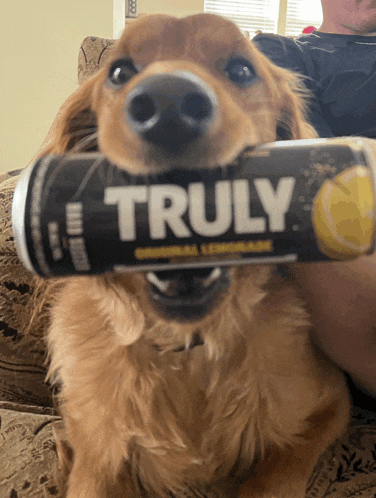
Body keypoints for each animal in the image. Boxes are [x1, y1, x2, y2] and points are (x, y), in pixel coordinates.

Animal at [38, 12, 350, 498]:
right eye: (120, 72)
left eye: (241, 69)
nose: (168, 106)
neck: (186, 349)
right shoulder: (98, 460)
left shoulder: (329, 402)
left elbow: (274, 477)